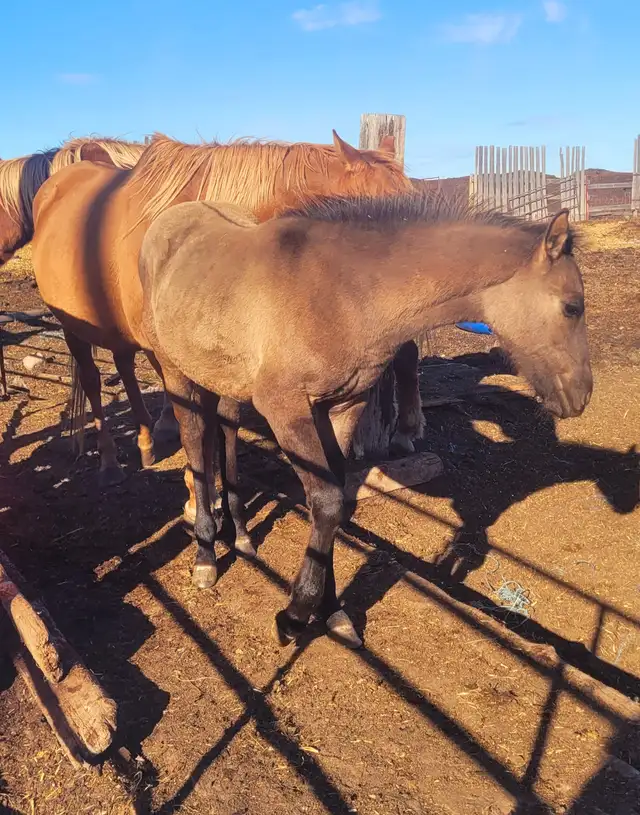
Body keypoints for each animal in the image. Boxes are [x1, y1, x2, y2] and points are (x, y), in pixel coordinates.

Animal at [31, 131, 418, 509]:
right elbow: (196, 424)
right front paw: (196, 497)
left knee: (124, 366)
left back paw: (146, 443)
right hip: (74, 330)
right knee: (93, 383)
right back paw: (110, 464)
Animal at [138, 194, 592, 649]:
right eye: (572, 307)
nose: (581, 396)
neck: (344, 295)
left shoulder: (340, 409)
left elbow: (335, 505)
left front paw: (332, 611)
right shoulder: (286, 411)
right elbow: (327, 503)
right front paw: (295, 615)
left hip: (226, 380)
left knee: (225, 433)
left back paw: (243, 536)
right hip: (176, 374)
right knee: (196, 447)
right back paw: (206, 556)